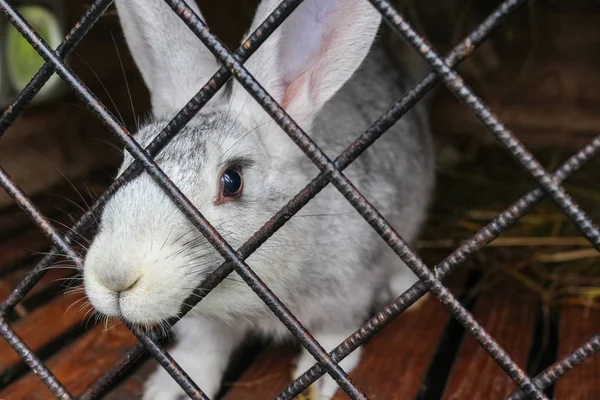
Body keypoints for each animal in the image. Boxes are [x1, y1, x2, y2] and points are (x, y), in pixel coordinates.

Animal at [81, 0, 436, 398]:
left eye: (232, 181)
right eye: (126, 164)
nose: (114, 276)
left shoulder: (348, 291)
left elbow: (335, 336)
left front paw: (322, 383)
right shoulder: (205, 328)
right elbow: (202, 352)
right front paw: (168, 391)